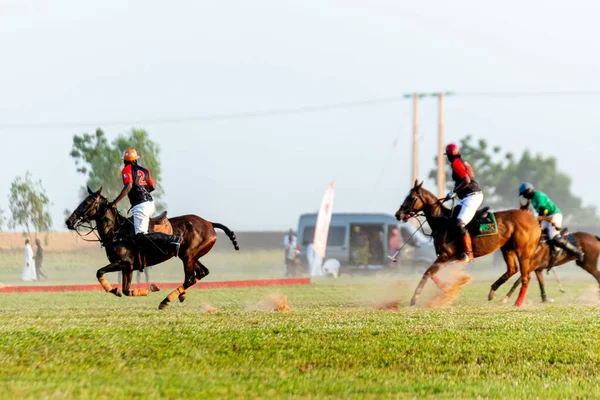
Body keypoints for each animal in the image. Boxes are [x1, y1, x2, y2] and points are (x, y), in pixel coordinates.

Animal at [65, 188, 239, 310]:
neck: (116, 231)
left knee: (189, 278)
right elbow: (126, 290)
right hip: (190, 256)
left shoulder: (124, 263)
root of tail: (209, 223)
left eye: (86, 203)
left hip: (189, 256)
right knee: (202, 272)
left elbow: (99, 272)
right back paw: (180, 295)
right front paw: (145, 289)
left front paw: (114, 290)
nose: (69, 221)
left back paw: (166, 300)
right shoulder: (128, 267)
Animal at [396, 181, 540, 306]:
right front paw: (448, 290)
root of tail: (534, 220)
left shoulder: (446, 255)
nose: (398, 214)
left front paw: (414, 299)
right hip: (507, 248)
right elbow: (432, 273)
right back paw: (493, 292)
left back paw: (517, 303)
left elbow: (427, 273)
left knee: (525, 277)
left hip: (523, 251)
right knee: (512, 270)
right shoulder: (449, 257)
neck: (443, 222)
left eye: (411, 197)